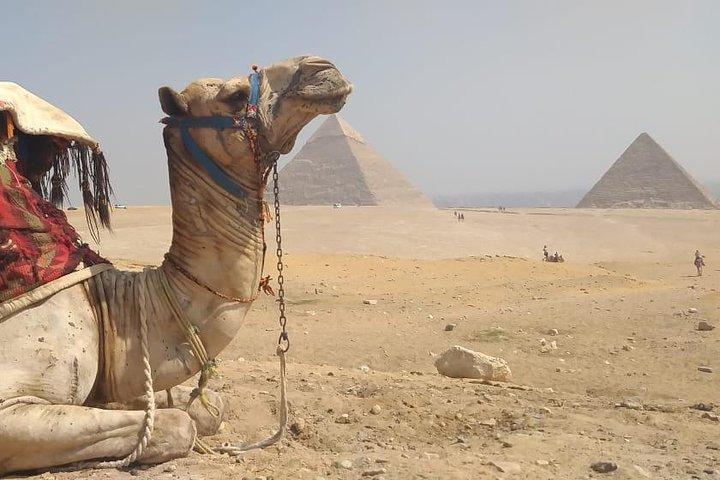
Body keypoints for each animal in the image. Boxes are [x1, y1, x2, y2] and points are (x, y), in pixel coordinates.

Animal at [0, 55, 352, 474]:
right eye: (235, 96)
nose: (323, 69)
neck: (104, 307)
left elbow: (209, 406)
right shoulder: (12, 403)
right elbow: (180, 424)